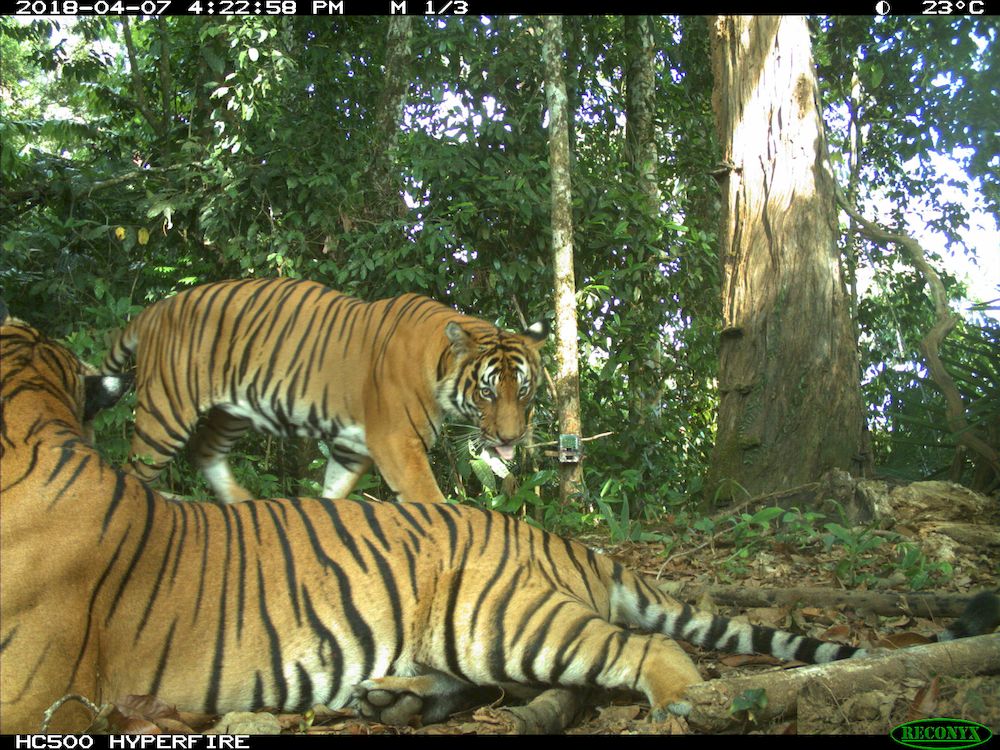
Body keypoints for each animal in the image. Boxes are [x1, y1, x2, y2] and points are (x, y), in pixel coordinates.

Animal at [3, 313, 998, 734]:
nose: (513, 434)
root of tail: (555, 538)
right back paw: (387, 699)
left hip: (500, 615)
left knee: (647, 653)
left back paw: (686, 711)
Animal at [100, 278, 548, 503]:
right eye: (488, 393)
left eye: (524, 392)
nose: (512, 438)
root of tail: (156, 308)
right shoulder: (396, 444)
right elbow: (431, 501)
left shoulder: (353, 448)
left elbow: (333, 492)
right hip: (165, 415)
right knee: (133, 472)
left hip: (232, 413)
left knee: (204, 451)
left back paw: (242, 501)